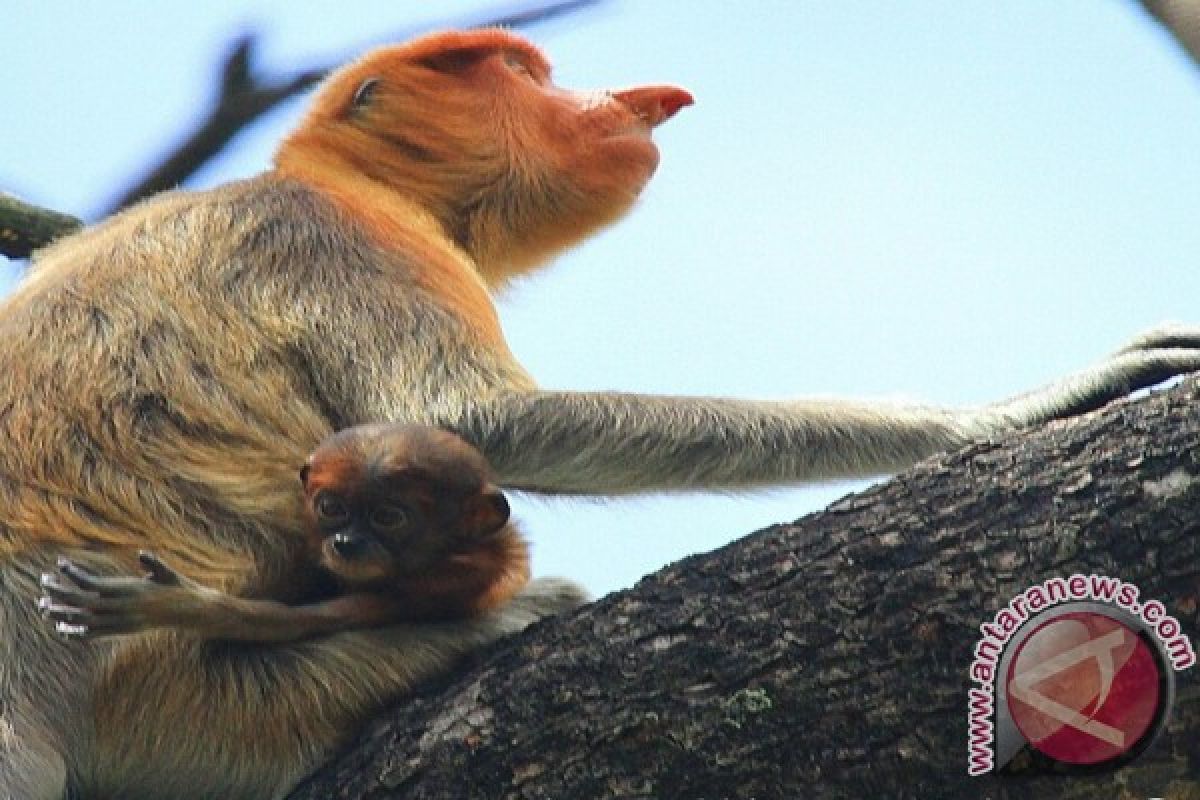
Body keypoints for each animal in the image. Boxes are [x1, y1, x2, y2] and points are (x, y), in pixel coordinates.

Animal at [41, 424, 530, 642]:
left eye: (389, 518)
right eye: (332, 509)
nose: (347, 542)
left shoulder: (447, 578)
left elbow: (294, 622)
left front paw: (171, 604)